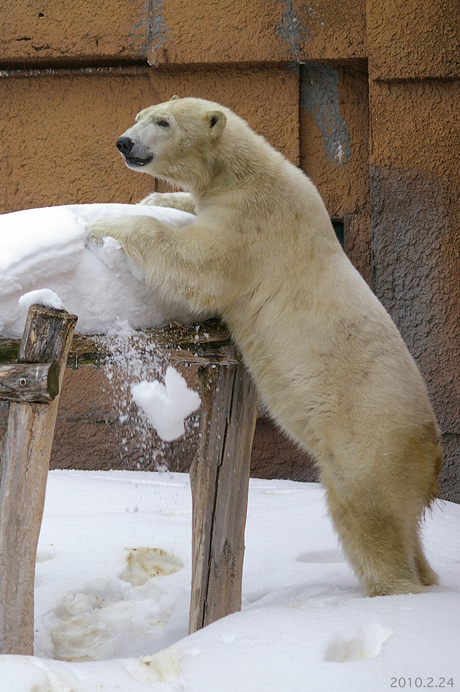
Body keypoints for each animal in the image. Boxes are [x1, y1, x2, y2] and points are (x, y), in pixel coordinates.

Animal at [88, 94, 444, 596]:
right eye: (140, 116)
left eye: (163, 122)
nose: (124, 142)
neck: (242, 171)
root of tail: (432, 455)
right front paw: (157, 197)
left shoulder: (253, 222)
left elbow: (200, 265)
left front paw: (106, 224)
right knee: (407, 528)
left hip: (369, 445)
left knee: (368, 516)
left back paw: (394, 589)